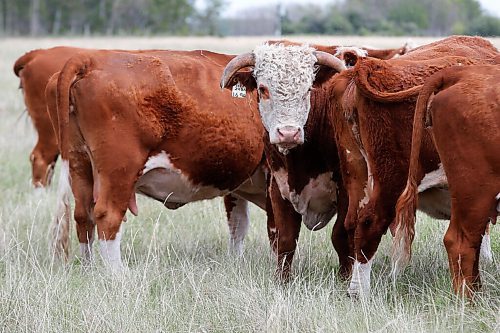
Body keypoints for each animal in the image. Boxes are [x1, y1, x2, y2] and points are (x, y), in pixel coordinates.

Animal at [46, 49, 266, 268]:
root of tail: (89, 59)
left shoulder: (237, 185)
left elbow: (238, 224)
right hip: (120, 171)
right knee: (108, 215)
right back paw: (116, 273)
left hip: (79, 164)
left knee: (84, 216)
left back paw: (89, 268)